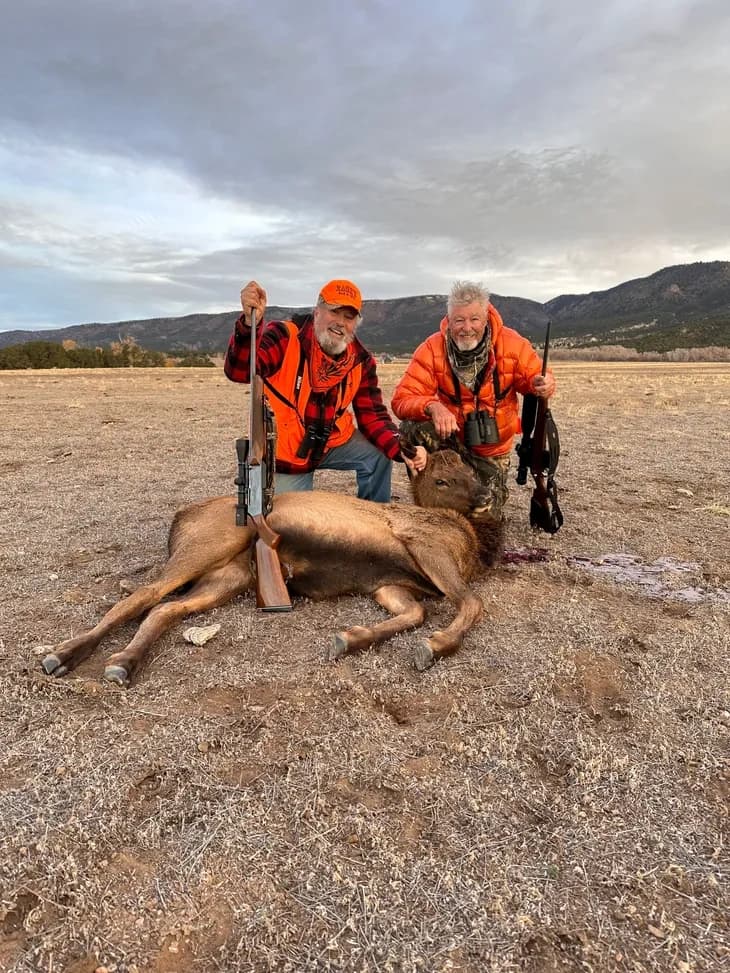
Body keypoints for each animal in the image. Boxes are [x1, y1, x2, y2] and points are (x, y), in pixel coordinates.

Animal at [41, 450, 504, 685]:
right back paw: (61, 654)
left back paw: (124, 661)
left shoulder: (387, 585)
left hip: (229, 577)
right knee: (143, 595)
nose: (485, 497)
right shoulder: (425, 546)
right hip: (209, 545)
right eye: (441, 479)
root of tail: (179, 520)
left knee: (165, 608)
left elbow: (415, 612)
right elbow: (471, 603)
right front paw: (436, 645)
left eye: (469, 468)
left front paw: (349, 639)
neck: (473, 544)